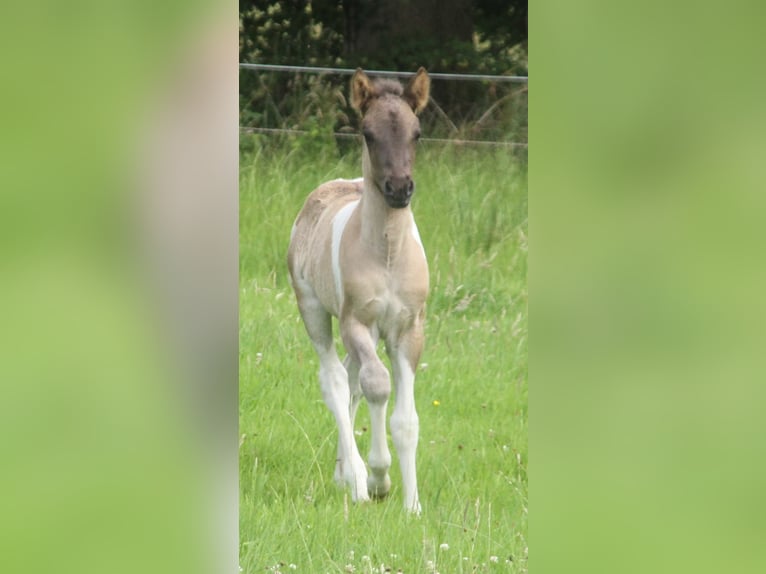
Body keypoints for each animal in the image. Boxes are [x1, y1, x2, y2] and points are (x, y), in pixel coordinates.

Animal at [287, 68, 431, 513]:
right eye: (368, 133)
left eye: (417, 132)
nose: (399, 189)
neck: (387, 255)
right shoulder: (356, 322)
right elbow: (378, 385)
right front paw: (378, 478)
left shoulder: (408, 329)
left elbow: (407, 420)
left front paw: (413, 506)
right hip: (314, 309)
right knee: (335, 379)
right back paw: (355, 478)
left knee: (350, 381)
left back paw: (342, 474)